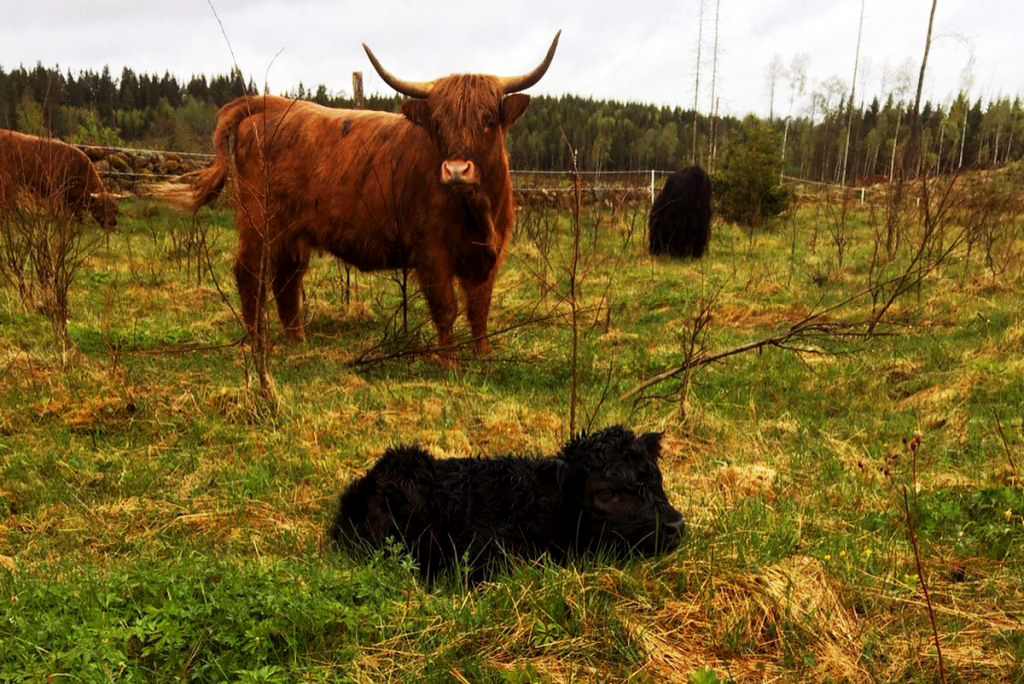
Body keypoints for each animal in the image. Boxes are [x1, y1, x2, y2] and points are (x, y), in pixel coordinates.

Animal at [190, 33, 561, 354]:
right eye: (438, 123)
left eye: (488, 120)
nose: (456, 170)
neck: (477, 211)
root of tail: (270, 104)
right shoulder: (430, 249)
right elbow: (446, 307)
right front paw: (450, 362)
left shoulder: (490, 253)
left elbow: (479, 309)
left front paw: (482, 356)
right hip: (258, 223)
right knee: (249, 273)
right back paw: (258, 345)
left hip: (292, 235)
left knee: (287, 280)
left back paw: (298, 341)